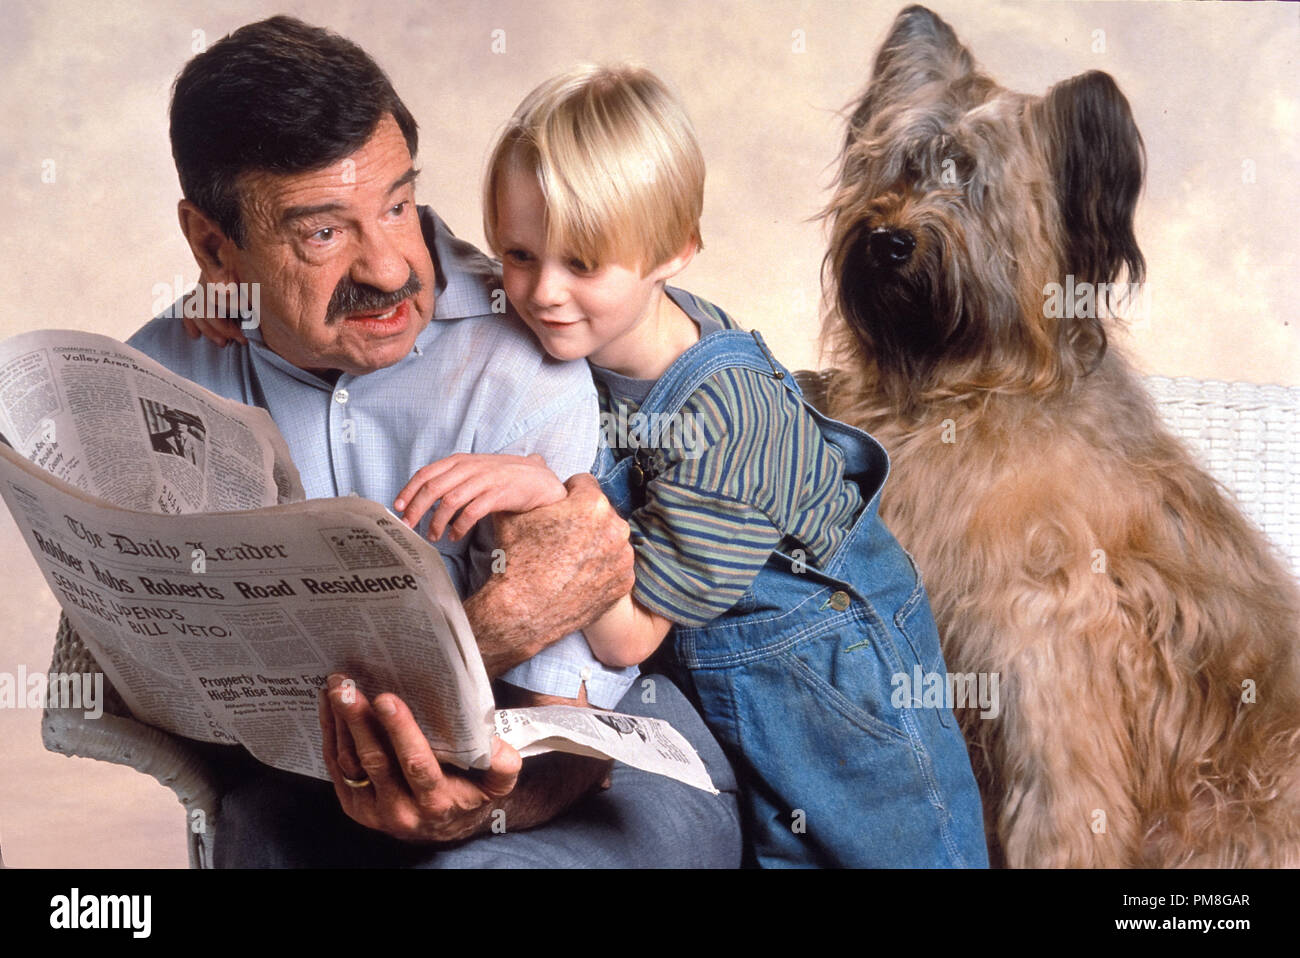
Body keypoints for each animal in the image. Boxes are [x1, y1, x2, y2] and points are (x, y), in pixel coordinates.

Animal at [816, 1, 1294, 868]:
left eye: (972, 183)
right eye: (901, 166)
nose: (890, 241)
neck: (964, 390)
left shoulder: (1051, 647)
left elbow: (1062, 804)